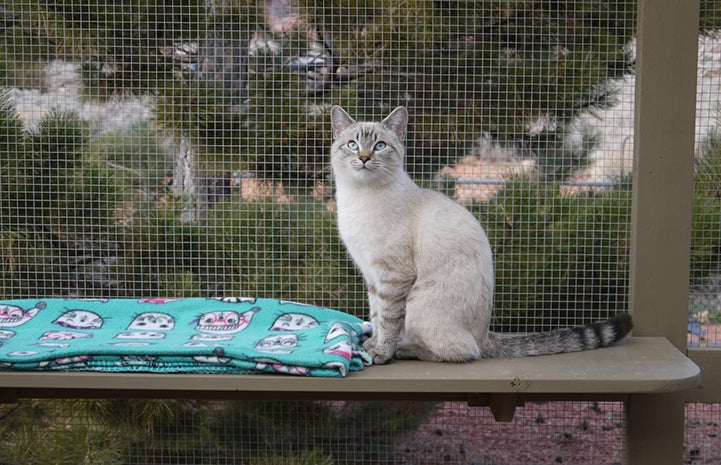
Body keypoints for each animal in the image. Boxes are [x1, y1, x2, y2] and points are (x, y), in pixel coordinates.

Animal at [326, 105, 632, 362]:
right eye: (352, 145)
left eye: (379, 146)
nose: (364, 158)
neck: (358, 198)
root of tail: (486, 335)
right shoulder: (372, 275)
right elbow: (376, 315)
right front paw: (371, 344)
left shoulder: (393, 276)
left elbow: (388, 320)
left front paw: (381, 353)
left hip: (420, 306)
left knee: (464, 351)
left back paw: (405, 349)